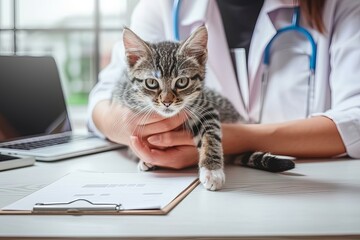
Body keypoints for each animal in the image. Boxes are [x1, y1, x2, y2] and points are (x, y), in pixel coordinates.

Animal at [113, 25, 296, 191]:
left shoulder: (205, 107)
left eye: (182, 82)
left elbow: (211, 135)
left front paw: (212, 171)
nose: (166, 102)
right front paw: (147, 158)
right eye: (151, 82)